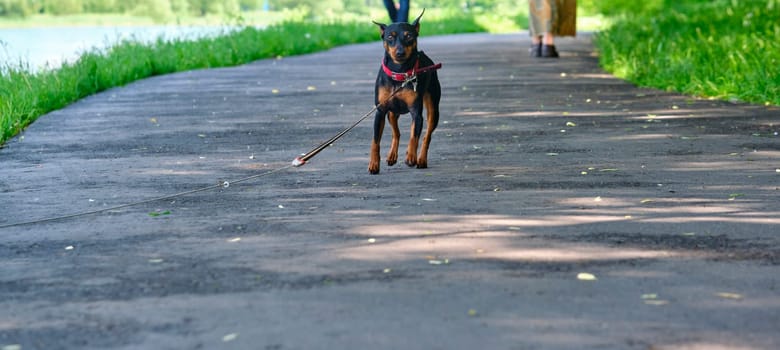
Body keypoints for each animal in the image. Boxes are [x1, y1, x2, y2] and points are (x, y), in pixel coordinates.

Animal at [370, 10, 442, 174]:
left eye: (409, 36)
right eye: (390, 37)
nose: (400, 52)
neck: (400, 73)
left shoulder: (416, 113)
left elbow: (414, 136)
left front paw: (410, 157)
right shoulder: (380, 111)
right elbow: (375, 141)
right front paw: (374, 164)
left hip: (433, 110)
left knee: (426, 136)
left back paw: (421, 160)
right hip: (392, 112)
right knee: (396, 132)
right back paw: (392, 156)